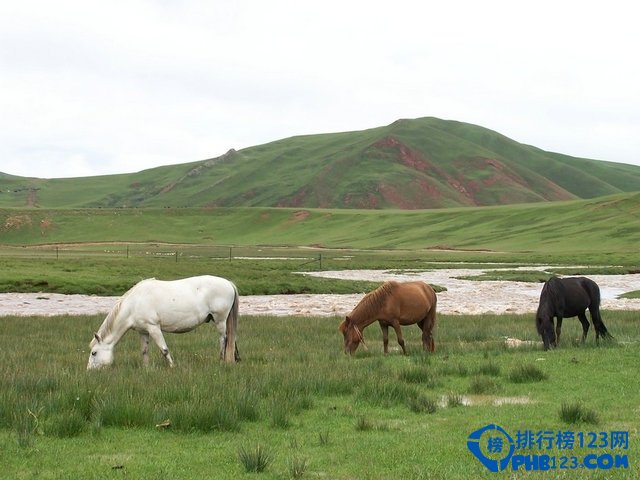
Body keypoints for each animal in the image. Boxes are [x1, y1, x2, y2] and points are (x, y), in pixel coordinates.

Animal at [87, 276, 240, 370]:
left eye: (94, 353)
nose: (89, 371)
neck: (135, 303)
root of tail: (229, 283)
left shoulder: (154, 328)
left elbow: (164, 349)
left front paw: (172, 366)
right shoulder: (143, 331)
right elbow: (144, 350)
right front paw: (146, 368)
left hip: (220, 320)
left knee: (223, 339)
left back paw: (221, 360)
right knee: (232, 339)